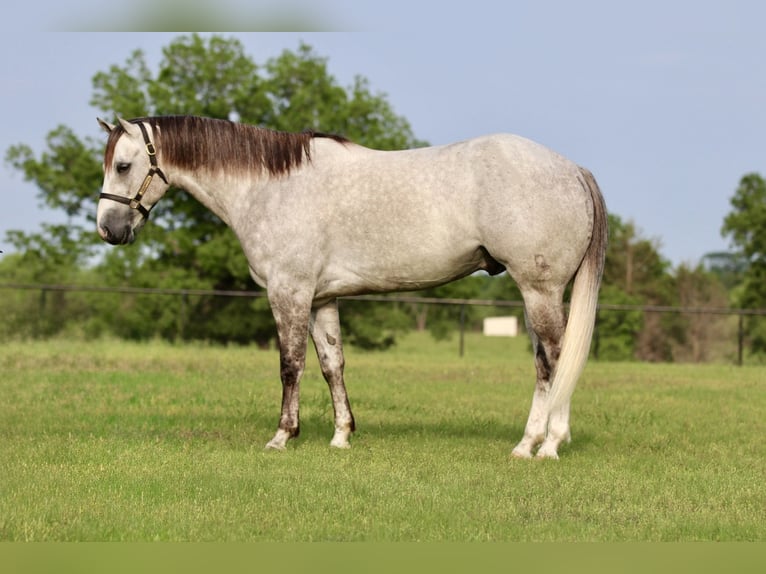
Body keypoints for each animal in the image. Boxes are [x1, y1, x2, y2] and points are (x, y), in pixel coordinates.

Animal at [99, 115, 608, 462]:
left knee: (557, 359)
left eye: (123, 165)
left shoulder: (289, 292)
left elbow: (290, 365)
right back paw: (526, 444)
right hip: (535, 293)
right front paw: (342, 434)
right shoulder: (323, 298)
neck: (270, 188)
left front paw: (282, 436)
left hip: (539, 290)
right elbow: (332, 365)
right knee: (543, 366)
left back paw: (549, 445)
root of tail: (572, 169)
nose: (108, 229)